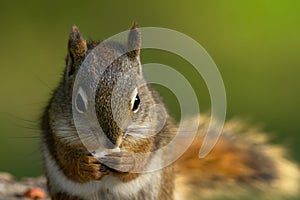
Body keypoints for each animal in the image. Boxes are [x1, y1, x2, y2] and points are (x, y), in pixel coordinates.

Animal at [41, 22, 298, 199]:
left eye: (137, 101)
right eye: (78, 102)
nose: (111, 142)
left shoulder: (151, 132)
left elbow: (141, 160)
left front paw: (126, 161)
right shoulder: (56, 131)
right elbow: (66, 160)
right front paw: (85, 165)